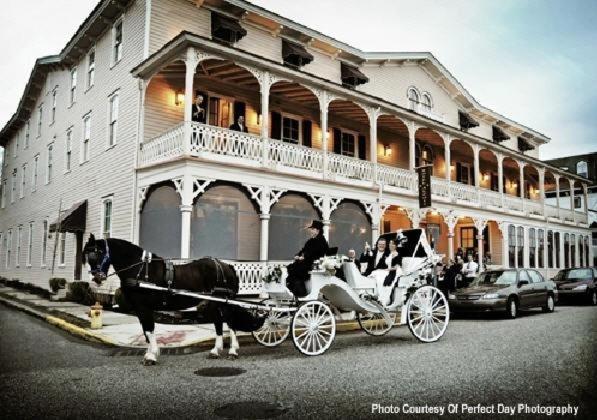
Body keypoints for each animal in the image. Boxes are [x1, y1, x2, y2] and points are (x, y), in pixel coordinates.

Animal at [82, 235, 264, 362]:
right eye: (88, 257)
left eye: (97, 254)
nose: (97, 278)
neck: (140, 269)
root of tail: (227, 266)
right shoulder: (140, 308)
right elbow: (146, 331)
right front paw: (150, 352)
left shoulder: (144, 307)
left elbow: (149, 329)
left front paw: (151, 356)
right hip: (214, 302)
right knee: (219, 323)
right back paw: (215, 351)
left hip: (223, 302)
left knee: (230, 323)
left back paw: (233, 351)